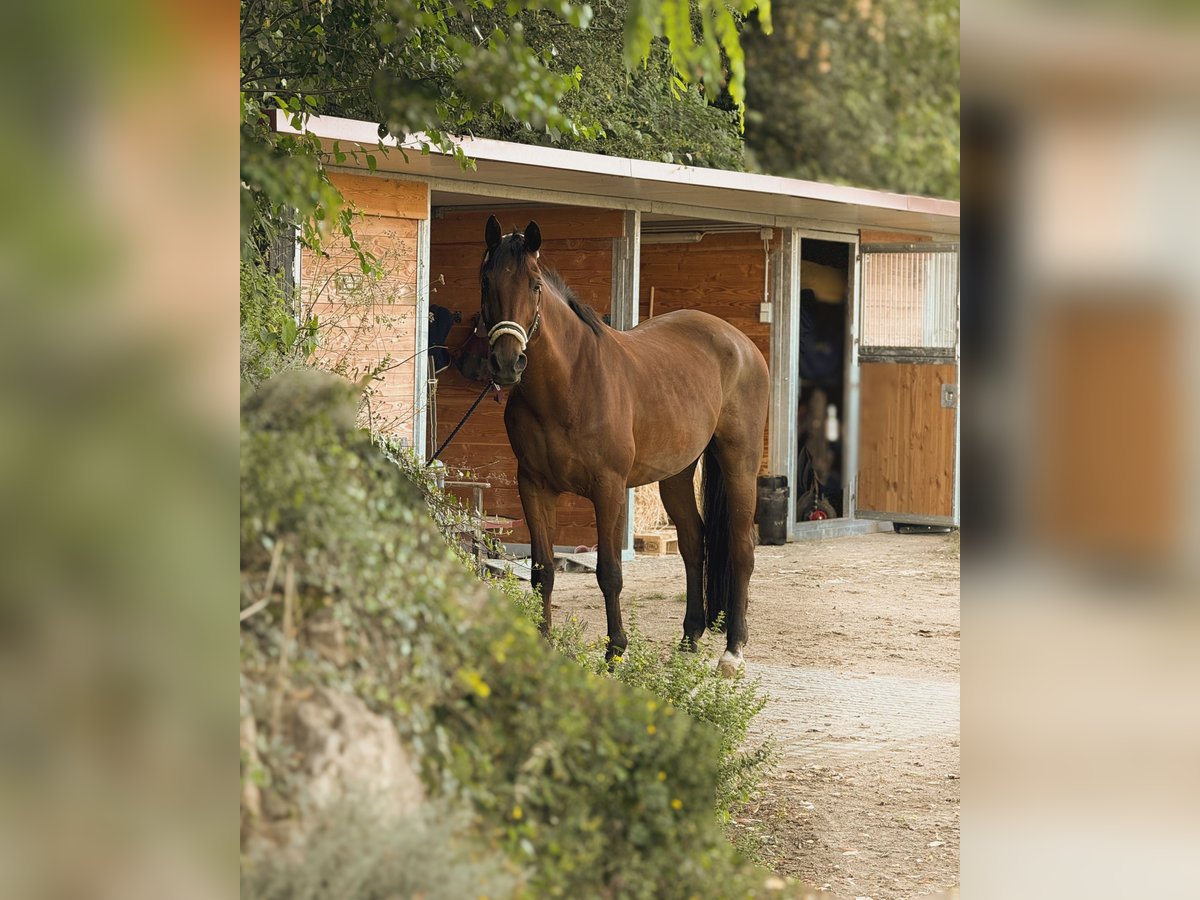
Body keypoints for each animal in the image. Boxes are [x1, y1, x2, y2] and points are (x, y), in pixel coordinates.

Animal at [484, 218, 772, 676]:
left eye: (534, 284)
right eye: (486, 280)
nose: (507, 363)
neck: (570, 382)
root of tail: (739, 342)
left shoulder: (609, 488)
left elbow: (610, 572)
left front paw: (615, 650)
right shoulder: (532, 486)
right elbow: (542, 571)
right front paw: (543, 645)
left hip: (739, 462)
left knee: (741, 548)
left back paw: (732, 651)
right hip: (676, 474)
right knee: (693, 542)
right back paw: (689, 638)